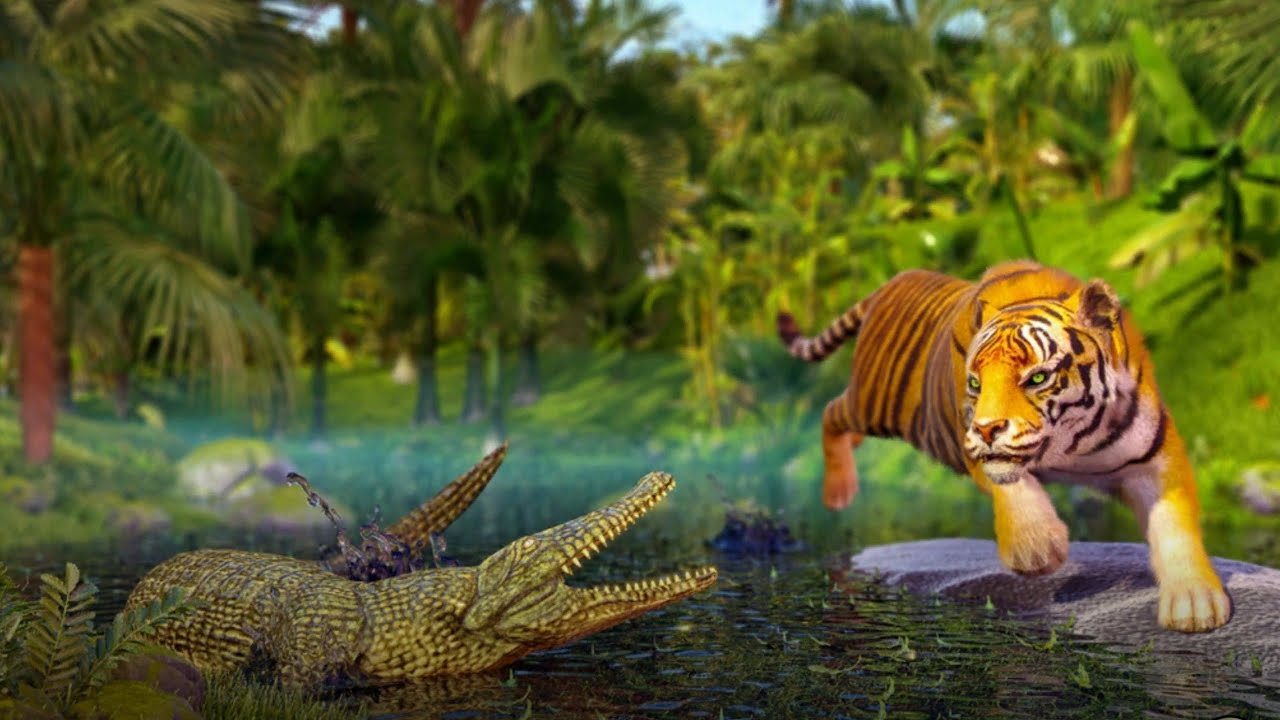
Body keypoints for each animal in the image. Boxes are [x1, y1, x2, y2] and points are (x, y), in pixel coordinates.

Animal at [776, 259, 1230, 633]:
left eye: (1037, 378)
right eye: (975, 384)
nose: (987, 427)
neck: (1072, 442)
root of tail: (893, 281)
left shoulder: (1155, 459)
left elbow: (1173, 526)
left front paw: (1194, 603)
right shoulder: (976, 445)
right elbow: (1013, 486)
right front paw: (1038, 548)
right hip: (874, 402)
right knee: (830, 413)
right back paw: (838, 491)